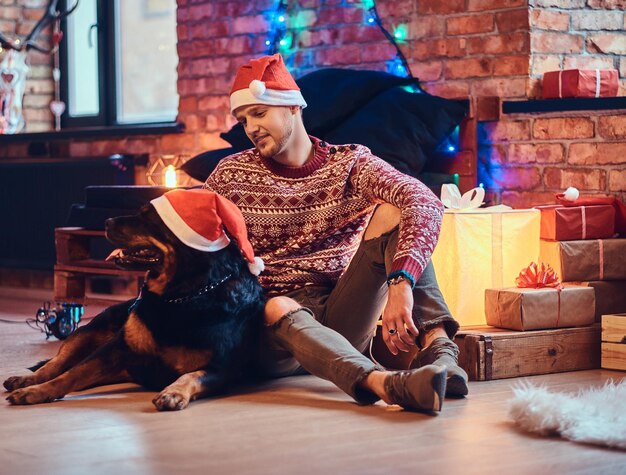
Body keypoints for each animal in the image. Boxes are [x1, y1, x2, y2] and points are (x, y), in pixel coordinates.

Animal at [3, 190, 264, 412]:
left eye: (148, 218)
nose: (107, 221)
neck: (181, 297)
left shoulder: (222, 367)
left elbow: (192, 375)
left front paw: (174, 392)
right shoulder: (116, 348)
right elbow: (72, 373)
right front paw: (38, 391)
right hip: (88, 332)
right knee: (57, 363)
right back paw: (26, 380)